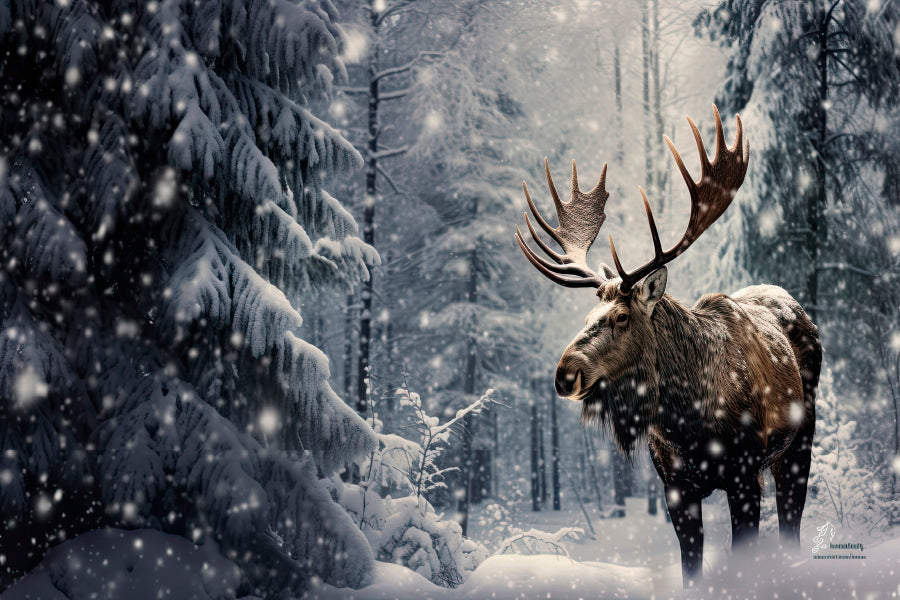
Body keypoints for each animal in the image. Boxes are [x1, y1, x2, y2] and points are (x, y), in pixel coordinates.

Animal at [514, 106, 821, 587]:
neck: (688, 421)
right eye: (587, 318)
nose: (564, 374)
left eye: (621, 318)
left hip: (800, 439)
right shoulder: (674, 486)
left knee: (793, 522)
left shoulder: (743, 475)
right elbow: (690, 568)